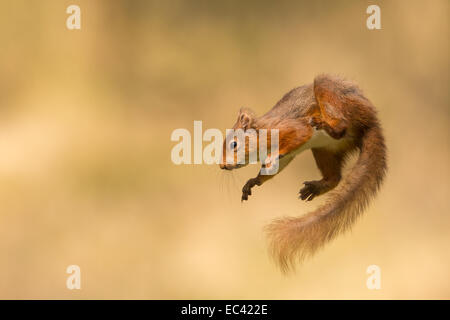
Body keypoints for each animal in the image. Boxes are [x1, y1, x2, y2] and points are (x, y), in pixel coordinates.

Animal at [220, 74, 384, 272]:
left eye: (234, 144)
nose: (222, 165)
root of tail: (369, 123)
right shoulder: (287, 156)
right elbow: (274, 168)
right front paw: (252, 182)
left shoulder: (290, 128)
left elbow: (299, 133)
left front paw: (270, 159)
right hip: (324, 151)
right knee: (335, 177)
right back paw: (317, 187)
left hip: (332, 96)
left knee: (341, 126)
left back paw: (325, 125)